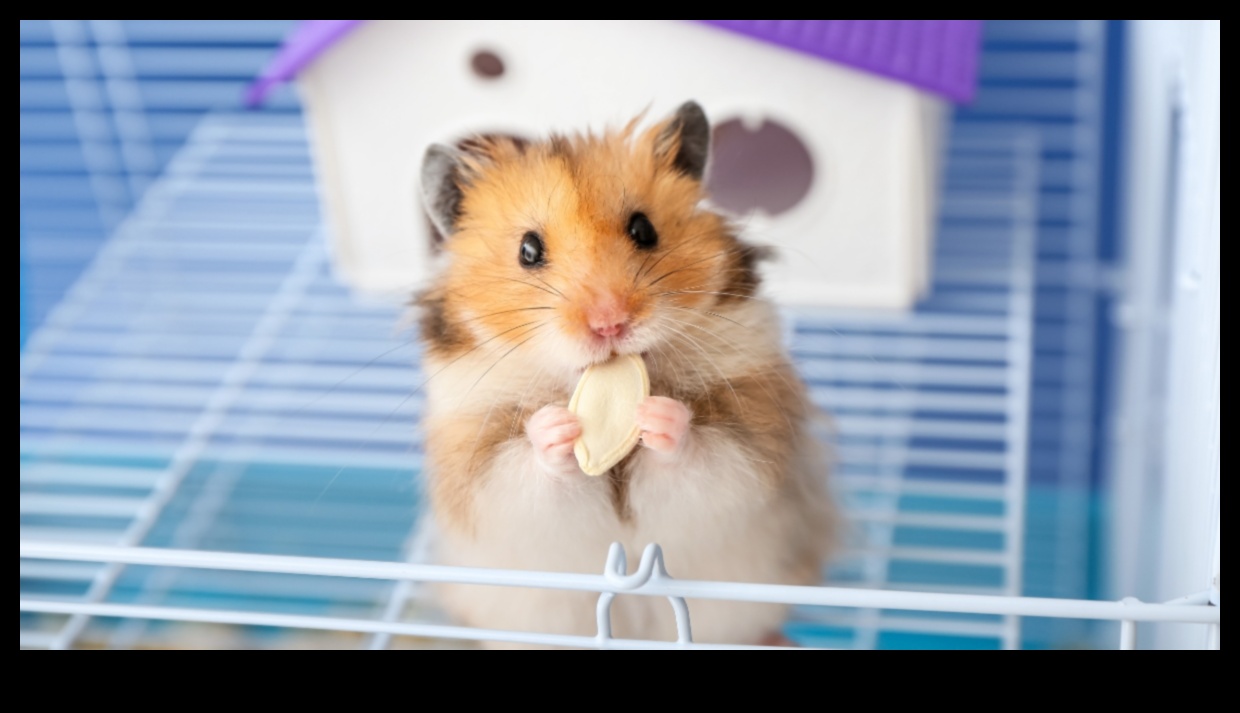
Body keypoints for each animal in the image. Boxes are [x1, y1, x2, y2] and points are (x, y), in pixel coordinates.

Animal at [415, 102, 836, 647]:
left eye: (643, 229)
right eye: (528, 250)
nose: (610, 323)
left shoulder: (753, 442)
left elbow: (707, 457)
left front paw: (660, 415)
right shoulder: (479, 468)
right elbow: (523, 472)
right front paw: (555, 428)